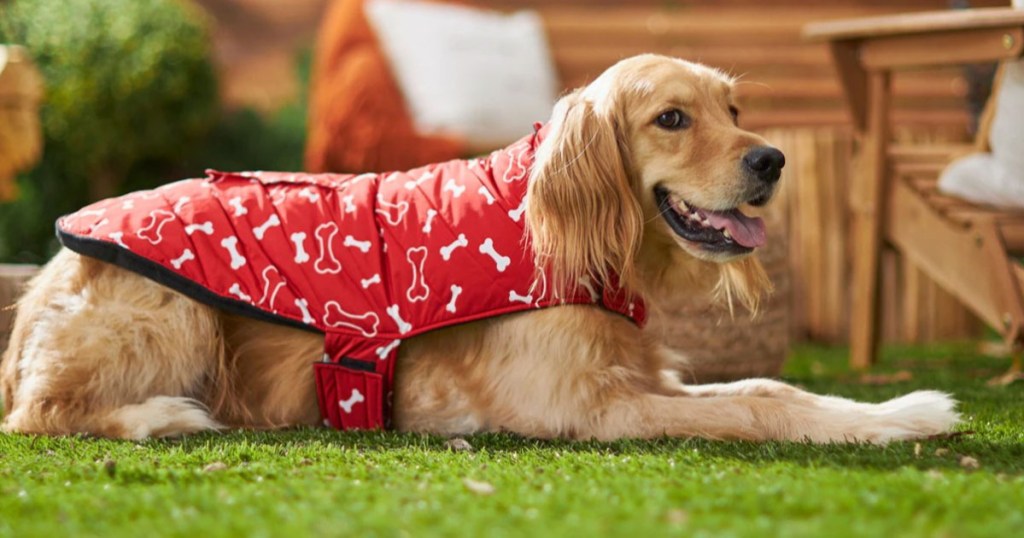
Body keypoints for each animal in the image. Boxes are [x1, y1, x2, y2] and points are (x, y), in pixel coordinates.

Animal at [2, 54, 958, 440]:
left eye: (732, 106)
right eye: (672, 119)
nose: (772, 161)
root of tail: (50, 263)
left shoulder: (644, 376)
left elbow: (766, 384)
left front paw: (900, 407)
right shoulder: (594, 408)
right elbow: (762, 409)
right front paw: (901, 420)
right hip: (174, 312)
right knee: (38, 415)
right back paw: (161, 416)